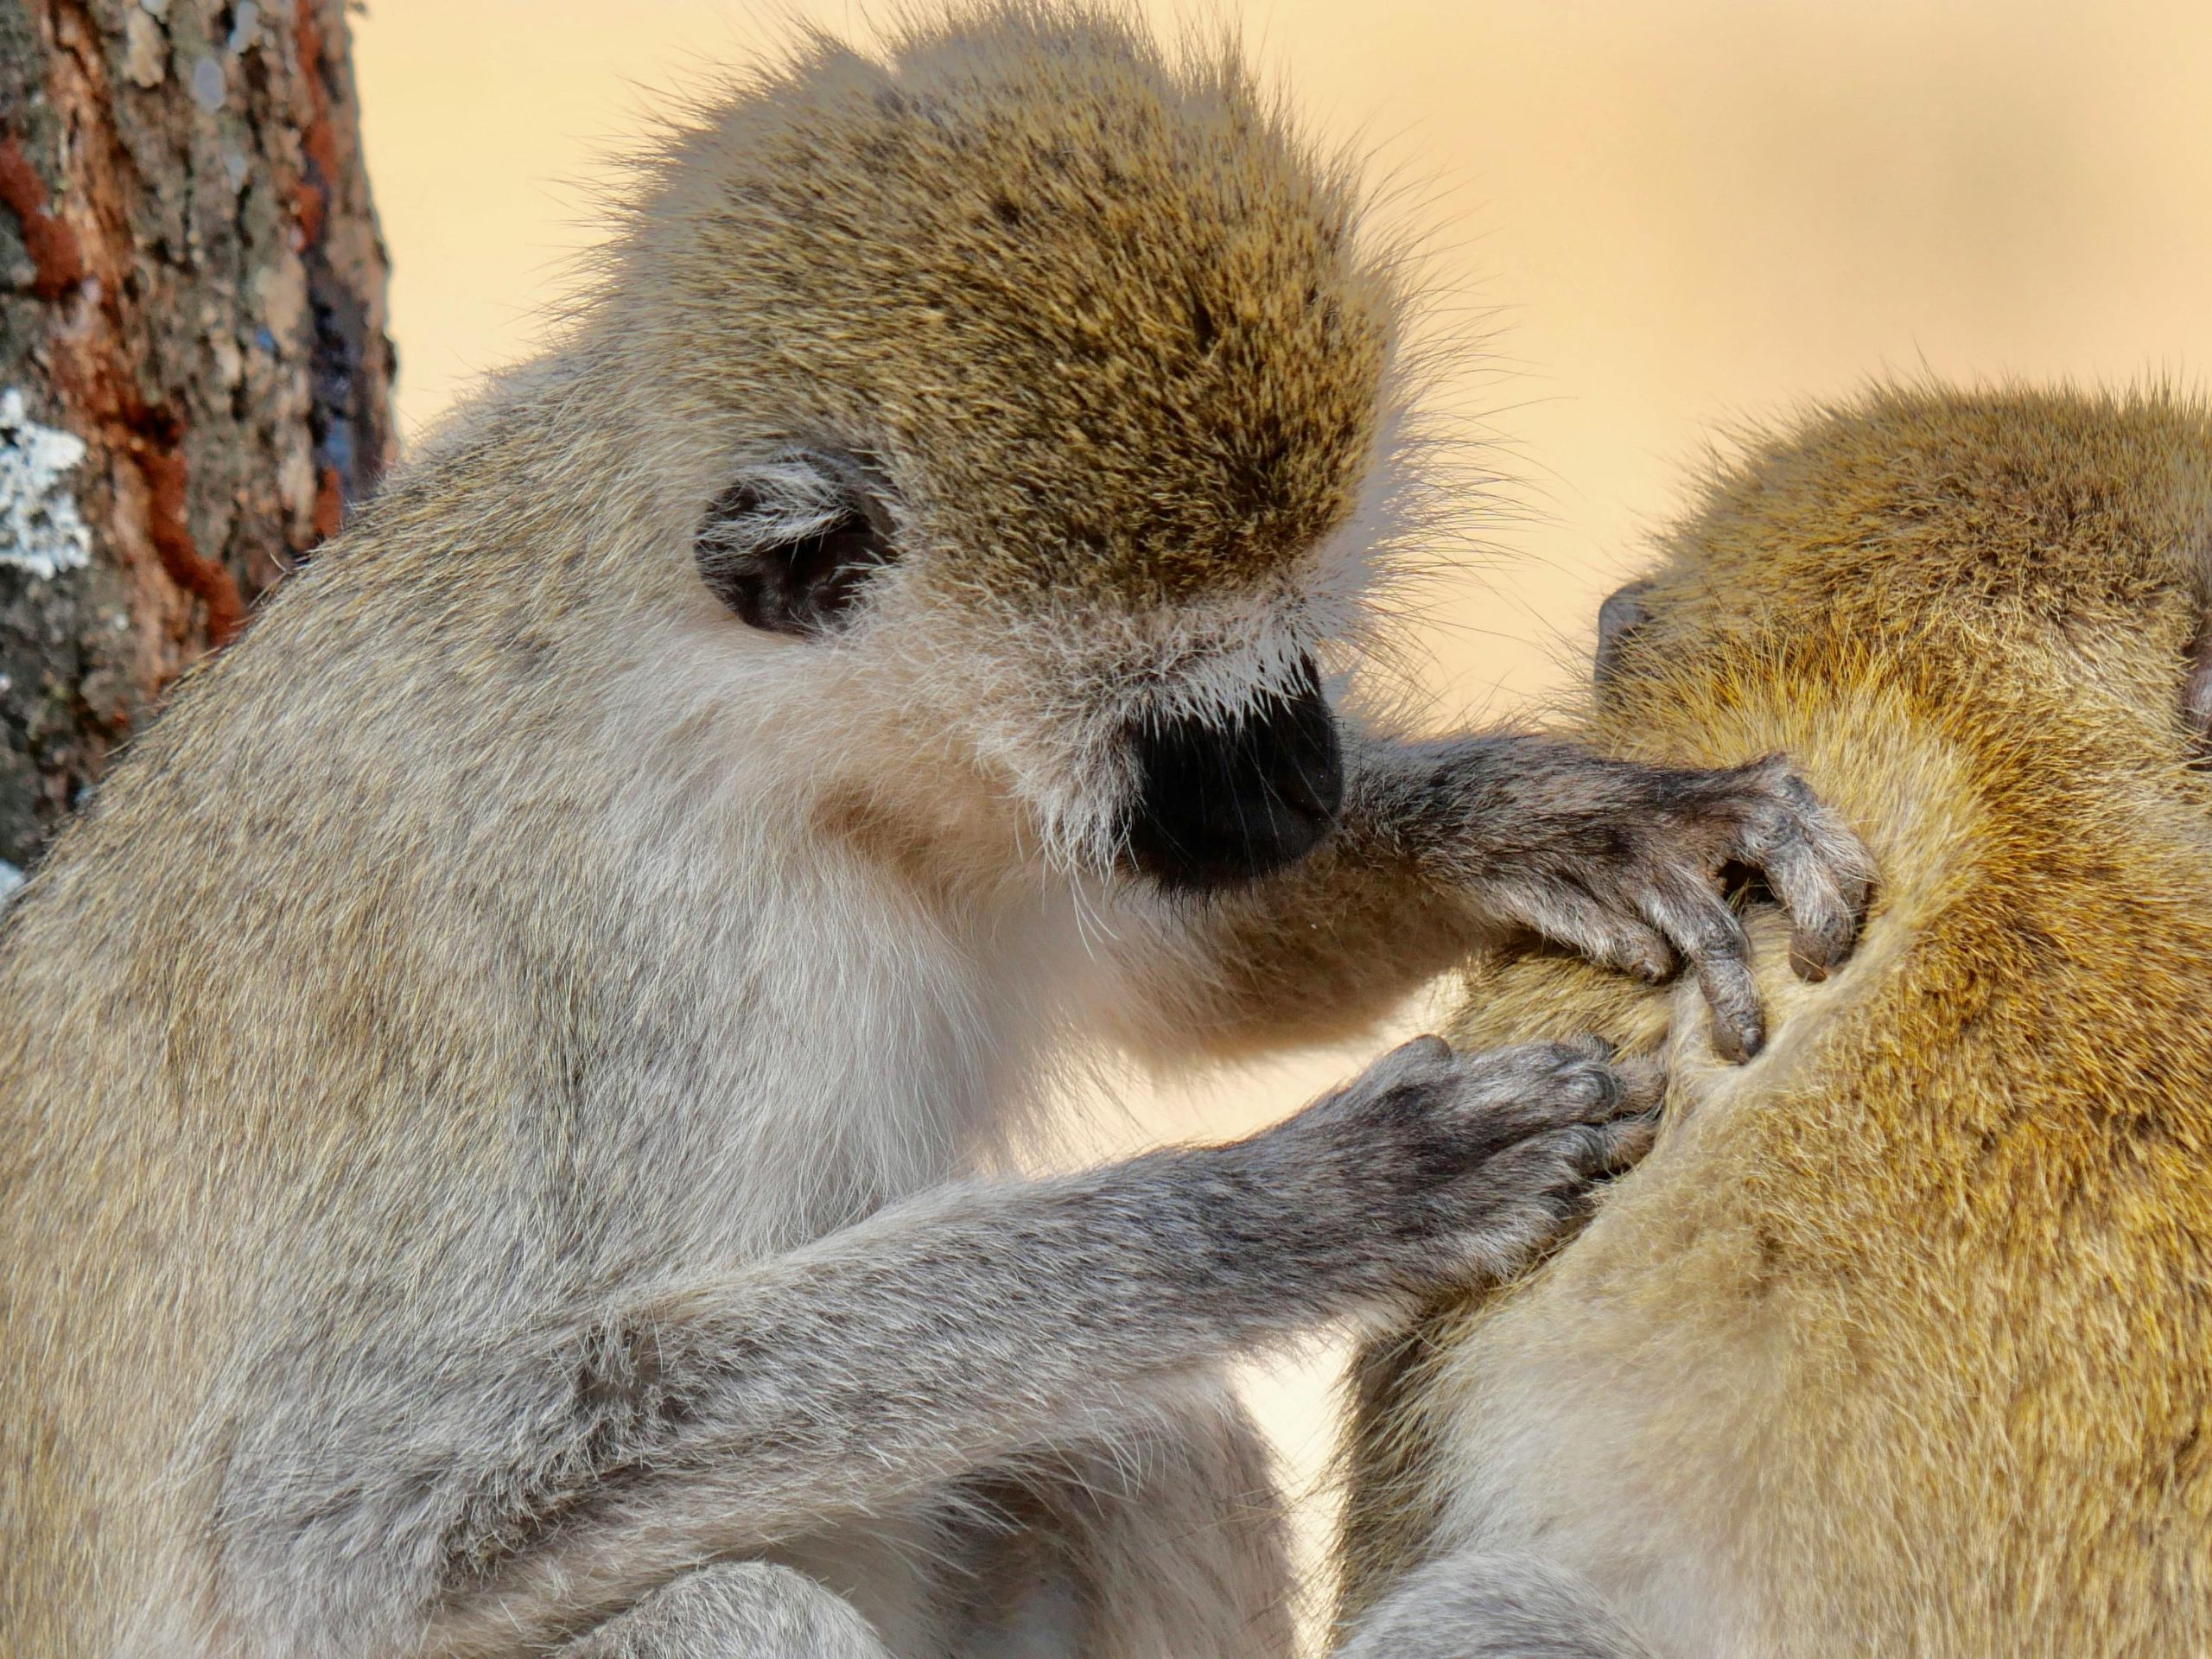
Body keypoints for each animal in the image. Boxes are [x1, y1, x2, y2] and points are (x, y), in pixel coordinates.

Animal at [0, 9, 1867, 1658]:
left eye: (1303, 658)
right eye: (1198, 723)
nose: (1308, 790)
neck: (762, 745)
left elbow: (1181, 966)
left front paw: (1571, 816)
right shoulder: (624, 965)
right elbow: (341, 1513)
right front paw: (1291, 1209)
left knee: (1121, 1445)